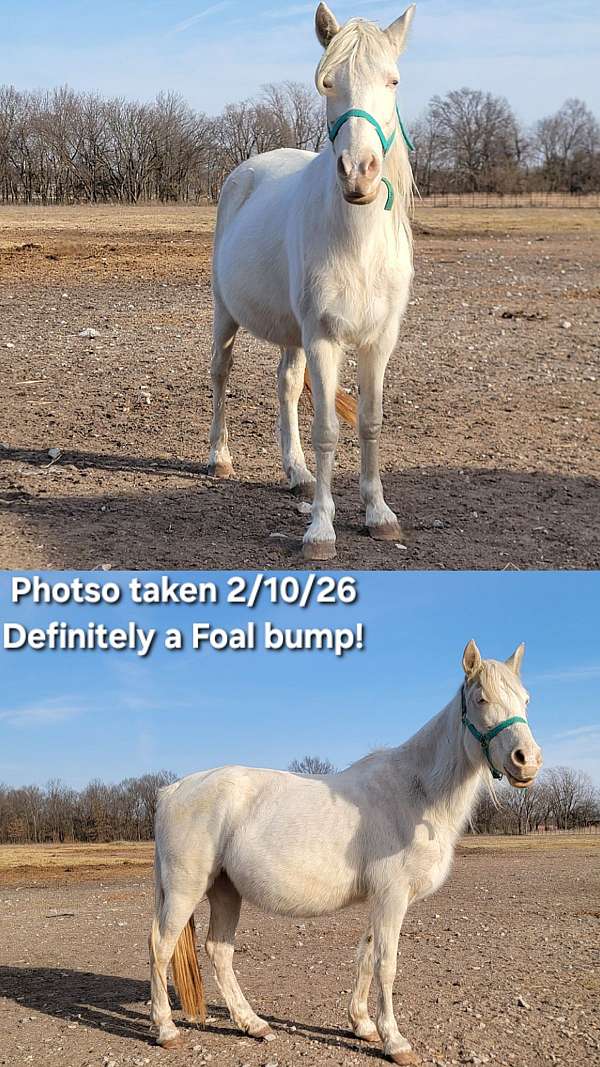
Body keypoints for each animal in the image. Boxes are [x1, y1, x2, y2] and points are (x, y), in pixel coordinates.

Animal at [149, 640, 543, 1063]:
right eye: (481, 698)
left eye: (526, 699)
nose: (527, 760)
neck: (416, 794)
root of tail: (171, 790)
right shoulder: (391, 897)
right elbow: (386, 964)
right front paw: (395, 1042)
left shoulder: (381, 900)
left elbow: (366, 958)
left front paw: (364, 1026)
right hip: (185, 890)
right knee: (161, 947)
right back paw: (166, 1030)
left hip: (225, 890)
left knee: (219, 951)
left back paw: (253, 1025)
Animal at [208, 3, 416, 560]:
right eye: (327, 83)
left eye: (393, 80)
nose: (359, 172)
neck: (358, 243)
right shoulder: (323, 337)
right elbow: (327, 429)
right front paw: (321, 529)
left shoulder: (378, 341)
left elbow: (368, 420)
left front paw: (379, 514)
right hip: (226, 315)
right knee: (220, 373)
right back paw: (219, 457)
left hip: (292, 332)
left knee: (285, 384)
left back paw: (296, 471)